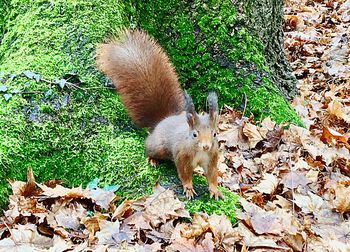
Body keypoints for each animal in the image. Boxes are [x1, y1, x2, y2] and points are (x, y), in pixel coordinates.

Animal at [95, 29, 221, 199]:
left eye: (215, 134)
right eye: (194, 134)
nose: (206, 146)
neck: (200, 152)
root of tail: (162, 121)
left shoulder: (212, 158)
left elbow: (212, 175)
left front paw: (214, 189)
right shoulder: (182, 156)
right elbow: (184, 173)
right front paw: (188, 187)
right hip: (158, 146)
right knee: (148, 147)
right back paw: (152, 159)